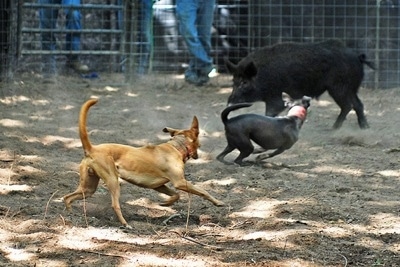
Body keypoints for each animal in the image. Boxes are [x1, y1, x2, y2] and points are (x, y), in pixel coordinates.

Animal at [64, 99, 223, 229]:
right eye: (200, 145)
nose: (197, 156)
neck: (177, 146)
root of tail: (92, 149)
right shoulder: (180, 182)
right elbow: (203, 191)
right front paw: (218, 202)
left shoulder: (159, 185)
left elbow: (176, 195)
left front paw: (165, 204)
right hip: (112, 181)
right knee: (115, 205)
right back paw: (125, 224)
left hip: (88, 187)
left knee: (67, 197)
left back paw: (71, 215)